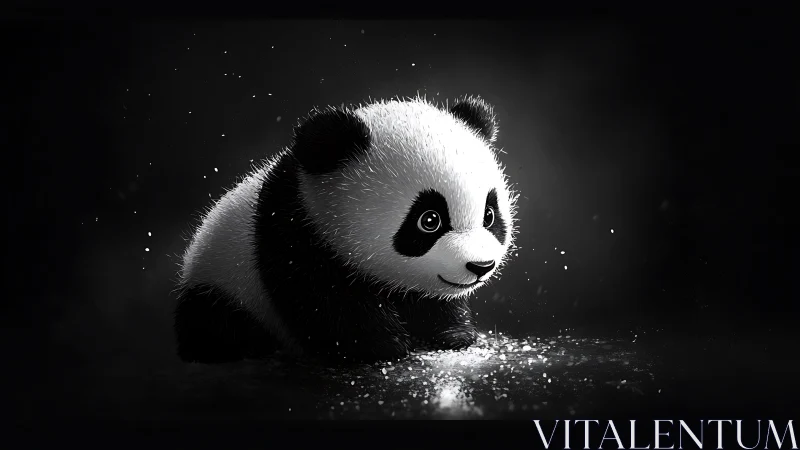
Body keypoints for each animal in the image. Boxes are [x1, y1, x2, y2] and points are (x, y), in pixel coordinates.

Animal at [174, 95, 518, 364]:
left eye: (489, 215)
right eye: (429, 220)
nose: (480, 266)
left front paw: (454, 332)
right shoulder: (291, 232)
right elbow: (321, 299)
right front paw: (383, 345)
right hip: (222, 287)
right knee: (217, 322)